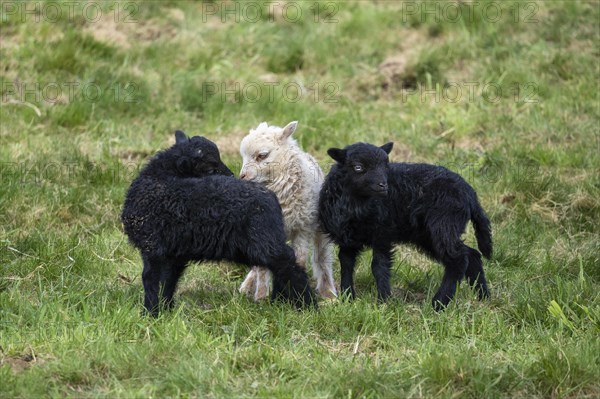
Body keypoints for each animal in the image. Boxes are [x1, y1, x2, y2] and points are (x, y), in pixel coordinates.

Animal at [123, 131, 318, 316]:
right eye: (209, 168)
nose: (234, 176)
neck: (159, 178)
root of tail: (271, 198)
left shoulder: (153, 249)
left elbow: (151, 281)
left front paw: (150, 314)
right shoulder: (171, 255)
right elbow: (167, 282)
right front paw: (165, 310)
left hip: (265, 242)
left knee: (290, 264)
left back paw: (307, 306)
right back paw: (282, 302)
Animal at [237, 120, 336, 302]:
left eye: (262, 155)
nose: (243, 176)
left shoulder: (303, 228)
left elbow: (301, 260)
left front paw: (297, 293)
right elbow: (262, 267)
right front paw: (261, 298)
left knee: (322, 257)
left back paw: (328, 293)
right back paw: (247, 287)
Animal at [318, 142, 492, 310]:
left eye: (385, 166)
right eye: (358, 167)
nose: (383, 185)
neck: (356, 204)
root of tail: (470, 194)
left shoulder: (382, 233)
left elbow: (379, 267)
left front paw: (383, 301)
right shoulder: (347, 239)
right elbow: (346, 264)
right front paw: (347, 297)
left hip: (444, 225)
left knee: (458, 259)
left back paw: (439, 303)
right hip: (430, 234)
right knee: (471, 254)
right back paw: (483, 296)